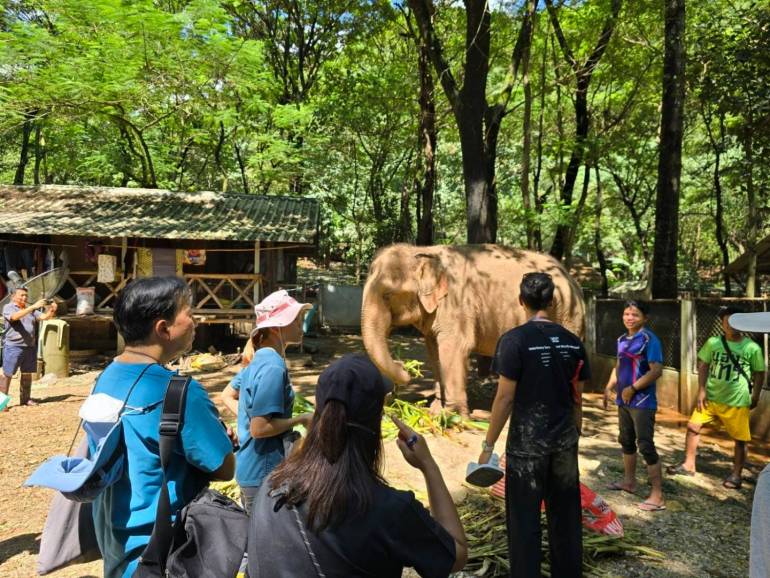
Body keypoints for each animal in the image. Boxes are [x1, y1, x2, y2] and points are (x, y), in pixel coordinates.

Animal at [360, 243, 584, 414]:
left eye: (387, 295)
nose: (404, 367)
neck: (423, 250)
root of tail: (571, 277)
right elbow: (434, 351)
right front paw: (435, 411)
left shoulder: (457, 304)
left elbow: (453, 348)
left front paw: (452, 417)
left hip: (569, 317)